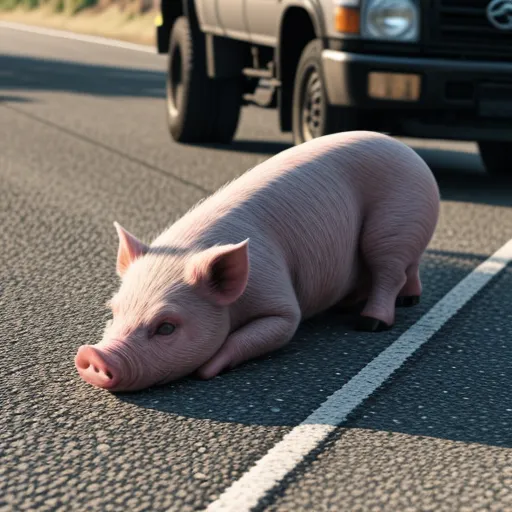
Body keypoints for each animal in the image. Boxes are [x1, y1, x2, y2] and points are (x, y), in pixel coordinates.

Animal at [75, 130, 440, 390]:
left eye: (167, 326)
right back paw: (406, 299)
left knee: (389, 273)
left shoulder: (279, 298)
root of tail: (409, 151)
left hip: (393, 226)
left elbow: (275, 329)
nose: (93, 355)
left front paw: (206, 371)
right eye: (114, 311)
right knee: (408, 269)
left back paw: (370, 322)